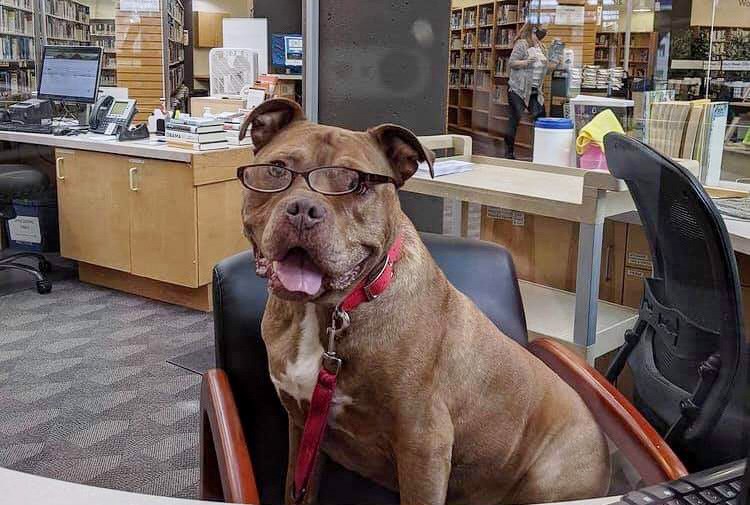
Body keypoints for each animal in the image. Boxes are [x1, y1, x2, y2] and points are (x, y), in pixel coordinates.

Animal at [238, 99, 612, 504]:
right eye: (277, 169)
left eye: (355, 184)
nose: (304, 210)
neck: (330, 313)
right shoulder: (303, 427)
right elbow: (297, 490)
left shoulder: (423, 444)